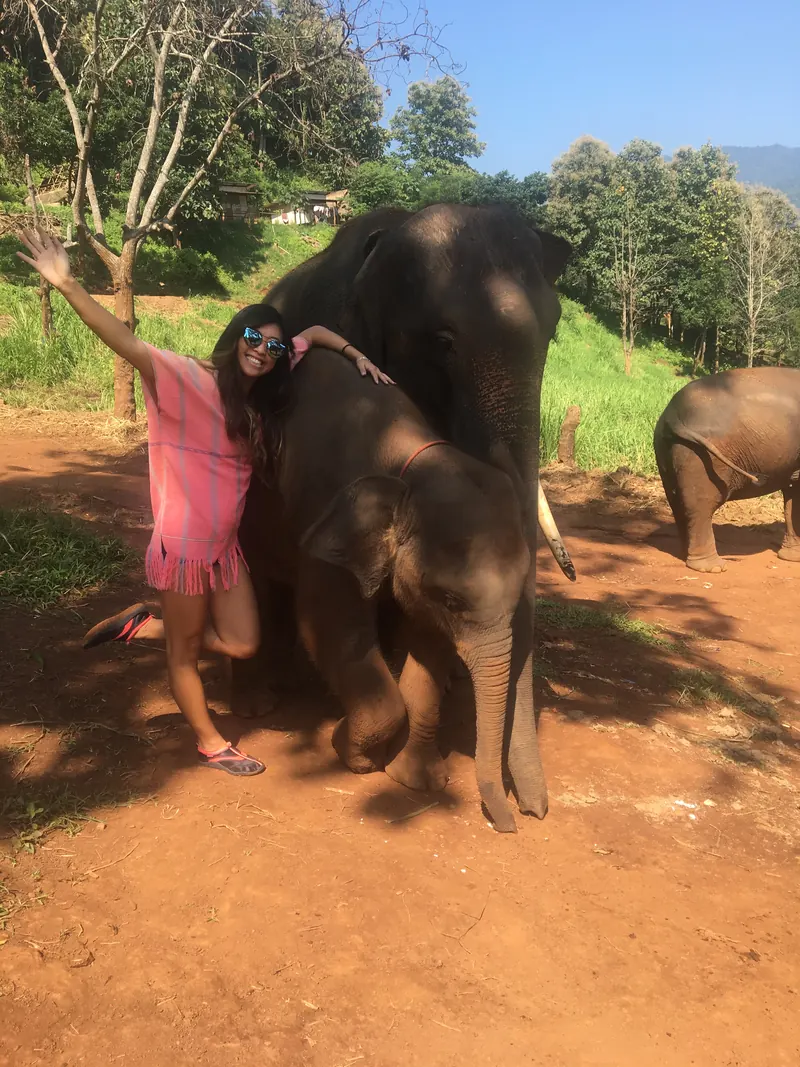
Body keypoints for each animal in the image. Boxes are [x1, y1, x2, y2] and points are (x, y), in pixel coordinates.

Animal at [239, 346, 547, 833]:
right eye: (453, 599)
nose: (516, 821)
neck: (407, 461)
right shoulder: (325, 522)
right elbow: (332, 626)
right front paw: (352, 754)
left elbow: (429, 646)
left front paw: (417, 781)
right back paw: (258, 705)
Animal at [654, 367, 800, 573]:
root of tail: (673, 415)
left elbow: (793, 490)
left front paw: (791, 558)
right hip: (703, 456)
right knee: (702, 504)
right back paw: (713, 567)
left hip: (667, 448)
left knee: (677, 500)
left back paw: (685, 555)